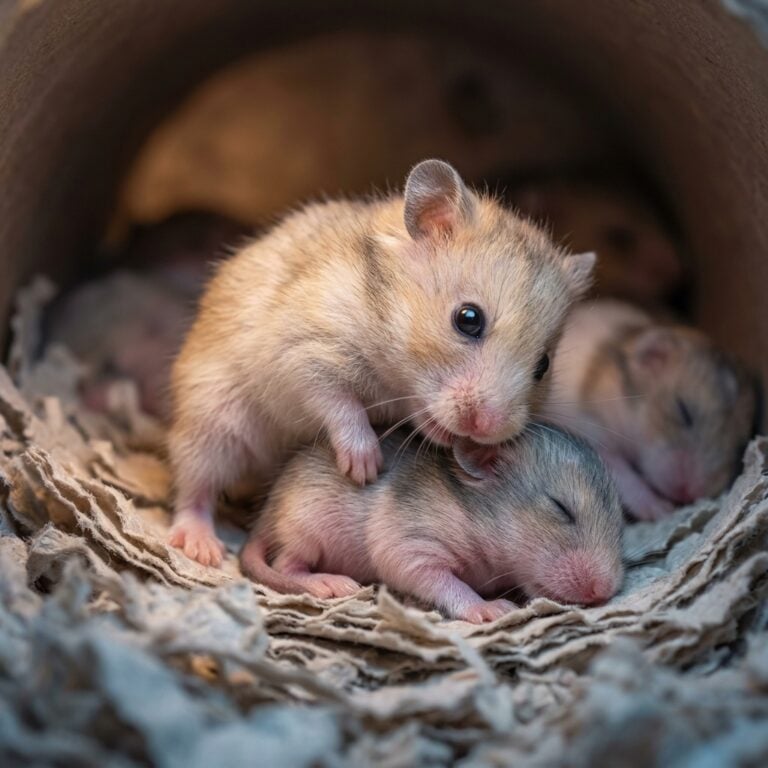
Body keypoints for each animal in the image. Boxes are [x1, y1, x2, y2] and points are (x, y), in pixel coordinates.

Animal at [168, 159, 596, 566]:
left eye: (543, 365)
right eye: (468, 318)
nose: (484, 428)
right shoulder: (301, 352)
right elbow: (338, 403)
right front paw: (364, 467)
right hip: (212, 422)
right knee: (193, 488)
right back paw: (201, 547)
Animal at [240, 425, 624, 623]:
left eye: (620, 523)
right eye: (560, 508)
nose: (604, 593)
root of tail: (265, 518)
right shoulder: (413, 542)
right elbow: (439, 579)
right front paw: (489, 608)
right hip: (306, 529)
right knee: (286, 565)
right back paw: (327, 582)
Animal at [542, 300, 757, 521]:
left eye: (740, 445)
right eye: (682, 410)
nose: (690, 495)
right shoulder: (591, 433)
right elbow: (621, 474)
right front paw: (662, 509)